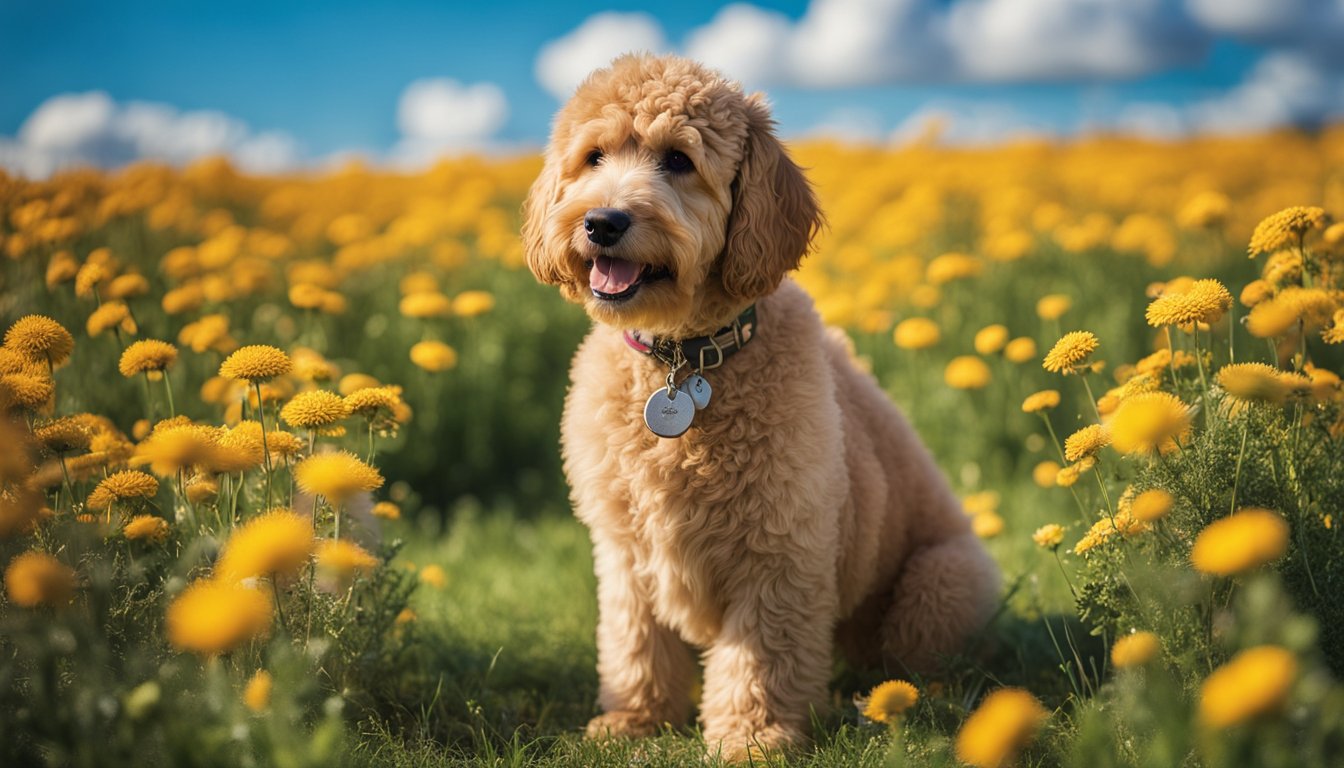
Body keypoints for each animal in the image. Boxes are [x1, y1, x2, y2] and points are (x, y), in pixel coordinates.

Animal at [518, 52, 1005, 758]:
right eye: (593, 157)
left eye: (678, 160)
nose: (602, 222)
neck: (683, 361)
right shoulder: (624, 548)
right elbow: (634, 640)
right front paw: (635, 721)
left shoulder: (779, 548)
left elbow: (761, 655)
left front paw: (753, 737)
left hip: (939, 583)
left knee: (929, 666)